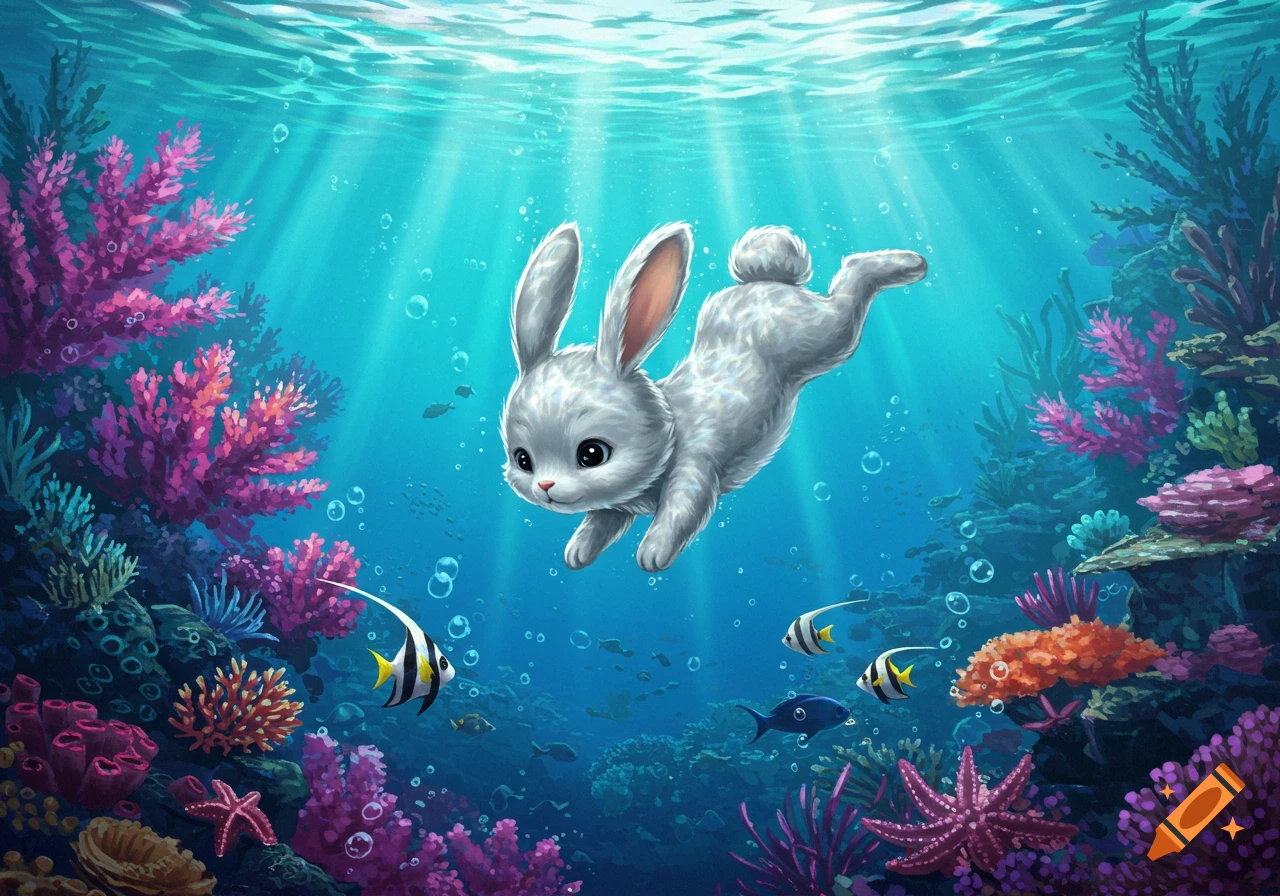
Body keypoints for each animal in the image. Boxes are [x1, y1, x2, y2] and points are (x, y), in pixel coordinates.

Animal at [501, 221, 927, 572]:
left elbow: (680, 513)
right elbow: (600, 522)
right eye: (523, 460)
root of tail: (767, 282)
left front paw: (652, 553)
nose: (545, 487)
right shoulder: (619, 504)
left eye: (592, 454)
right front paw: (578, 551)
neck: (670, 427)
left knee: (849, 285)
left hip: (825, 335)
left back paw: (909, 263)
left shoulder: (696, 470)